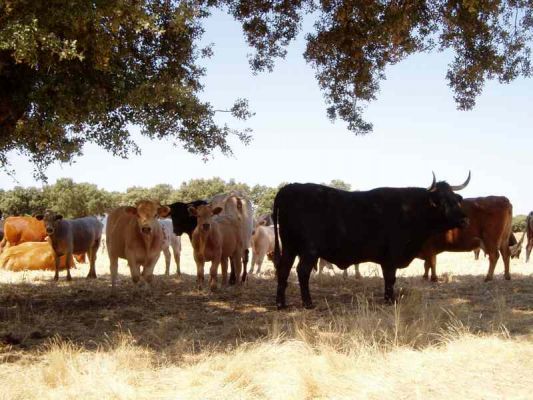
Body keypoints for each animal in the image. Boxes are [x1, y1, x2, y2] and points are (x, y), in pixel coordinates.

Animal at [272, 173, 468, 310]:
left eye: (456, 199)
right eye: (443, 201)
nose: (464, 220)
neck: (411, 209)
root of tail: (290, 187)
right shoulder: (392, 255)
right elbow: (390, 278)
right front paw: (390, 300)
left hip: (289, 247)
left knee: (283, 270)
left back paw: (281, 304)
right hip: (309, 250)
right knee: (302, 272)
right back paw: (308, 303)